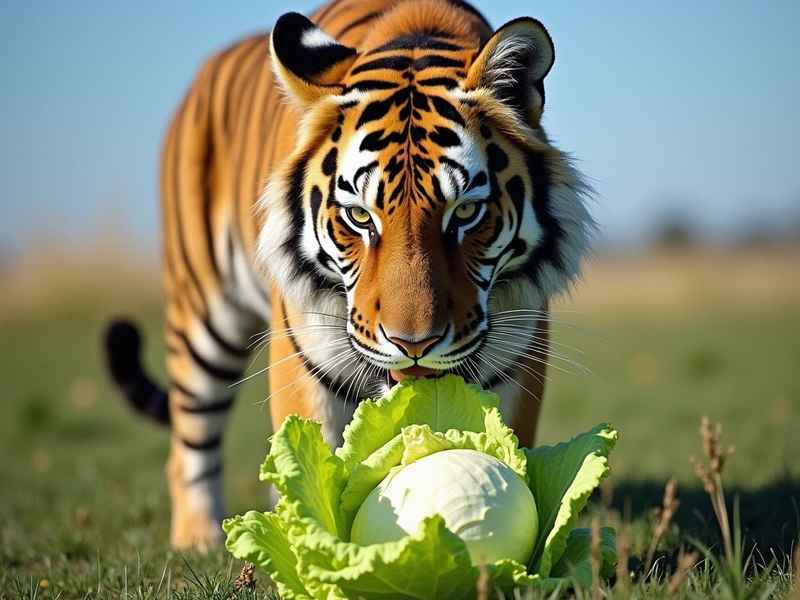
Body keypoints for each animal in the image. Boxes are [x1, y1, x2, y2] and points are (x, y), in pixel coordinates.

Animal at [104, 0, 593, 550]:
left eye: (465, 211)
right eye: (360, 216)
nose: (413, 344)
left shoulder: (517, 355)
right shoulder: (305, 358)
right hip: (202, 315)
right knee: (190, 436)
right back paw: (200, 537)